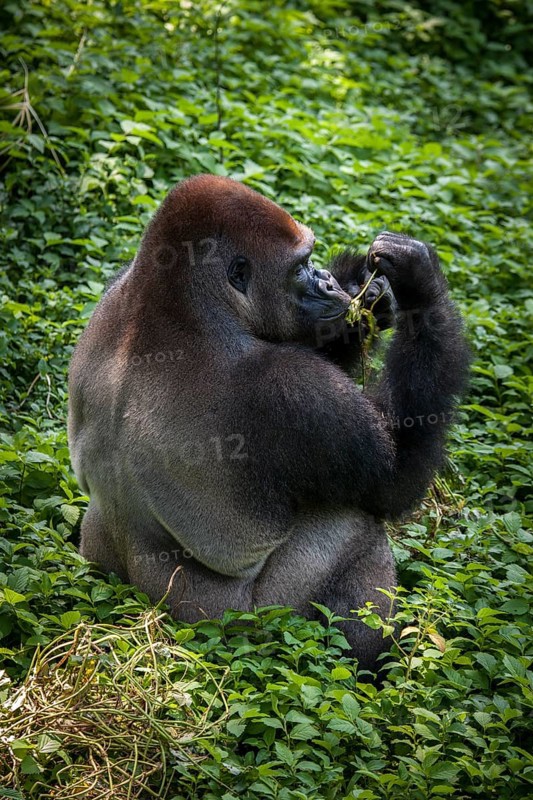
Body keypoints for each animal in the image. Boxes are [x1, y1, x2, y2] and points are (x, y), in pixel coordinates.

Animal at [68, 175, 469, 673]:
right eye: (300, 266)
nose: (328, 282)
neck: (171, 301)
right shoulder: (293, 391)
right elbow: (396, 483)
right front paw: (420, 284)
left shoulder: (114, 286)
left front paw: (368, 289)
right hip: (246, 626)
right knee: (354, 532)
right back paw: (369, 663)